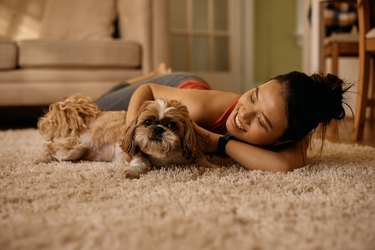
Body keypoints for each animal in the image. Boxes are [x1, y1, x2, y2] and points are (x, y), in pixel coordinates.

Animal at [38, 94, 214, 178]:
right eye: (147, 122)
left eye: (172, 125)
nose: (158, 129)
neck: (165, 157)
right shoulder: (134, 152)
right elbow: (143, 162)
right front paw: (133, 171)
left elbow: (202, 160)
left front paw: (212, 166)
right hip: (75, 144)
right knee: (52, 147)